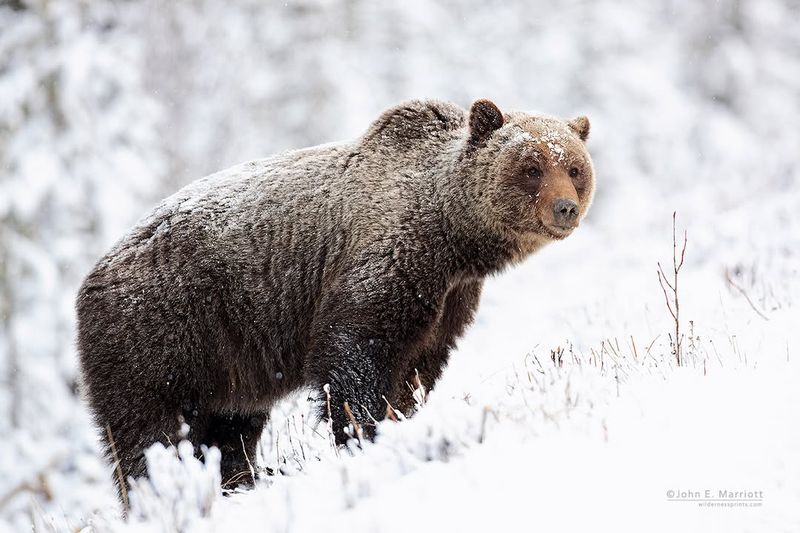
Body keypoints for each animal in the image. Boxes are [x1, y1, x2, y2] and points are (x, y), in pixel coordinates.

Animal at [78, 98, 592, 494]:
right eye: (531, 167)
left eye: (574, 167)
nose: (565, 208)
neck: (452, 240)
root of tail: (91, 278)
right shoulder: (384, 263)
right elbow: (354, 355)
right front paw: (365, 431)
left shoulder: (447, 300)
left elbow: (417, 368)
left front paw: (403, 418)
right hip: (161, 331)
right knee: (152, 432)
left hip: (227, 357)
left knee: (231, 424)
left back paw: (241, 478)